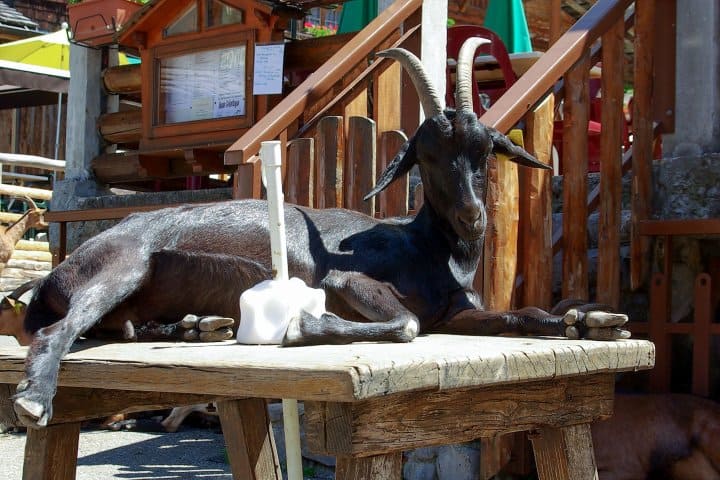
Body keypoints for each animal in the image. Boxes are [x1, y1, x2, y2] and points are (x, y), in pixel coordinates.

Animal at [12, 40, 629, 428]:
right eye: (426, 156)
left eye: (485, 152)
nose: (472, 219)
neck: (428, 248)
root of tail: (57, 271)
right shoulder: (350, 283)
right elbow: (406, 323)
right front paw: (301, 326)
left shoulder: (456, 314)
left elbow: (519, 315)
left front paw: (591, 320)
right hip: (121, 267)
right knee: (62, 329)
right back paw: (35, 400)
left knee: (122, 327)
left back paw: (198, 327)